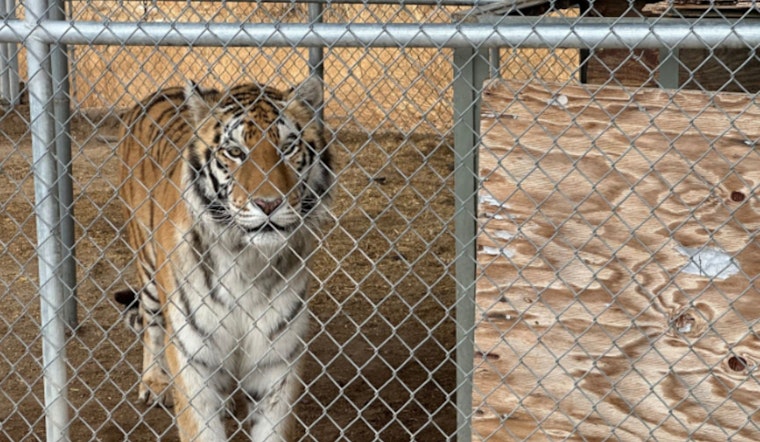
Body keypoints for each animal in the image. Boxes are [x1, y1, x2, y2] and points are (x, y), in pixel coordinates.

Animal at [114, 77, 332, 441]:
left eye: (288, 148)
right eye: (235, 152)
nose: (269, 203)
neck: (247, 260)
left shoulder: (277, 360)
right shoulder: (193, 355)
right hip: (146, 263)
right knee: (152, 324)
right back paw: (155, 382)